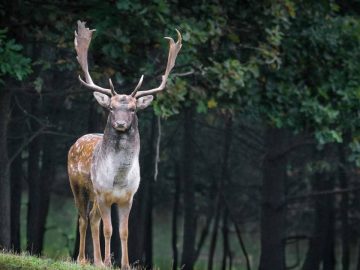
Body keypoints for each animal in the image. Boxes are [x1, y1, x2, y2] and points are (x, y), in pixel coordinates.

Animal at [67, 20, 181, 268]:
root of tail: (76, 142)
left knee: (92, 218)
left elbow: (124, 231)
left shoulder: (128, 197)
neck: (118, 179)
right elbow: (108, 230)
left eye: (133, 109)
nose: (120, 123)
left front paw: (125, 264)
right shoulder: (103, 193)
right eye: (111, 108)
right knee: (83, 218)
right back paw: (83, 259)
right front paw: (108, 262)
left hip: (94, 196)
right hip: (78, 186)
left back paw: (96, 260)